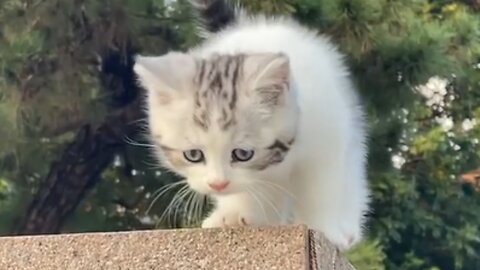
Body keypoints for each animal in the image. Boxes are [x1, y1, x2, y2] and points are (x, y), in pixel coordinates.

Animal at [133, 0, 370, 250]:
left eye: (243, 153)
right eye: (193, 155)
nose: (217, 184)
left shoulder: (326, 138)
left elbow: (320, 189)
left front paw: (324, 229)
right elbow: (250, 191)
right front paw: (240, 214)